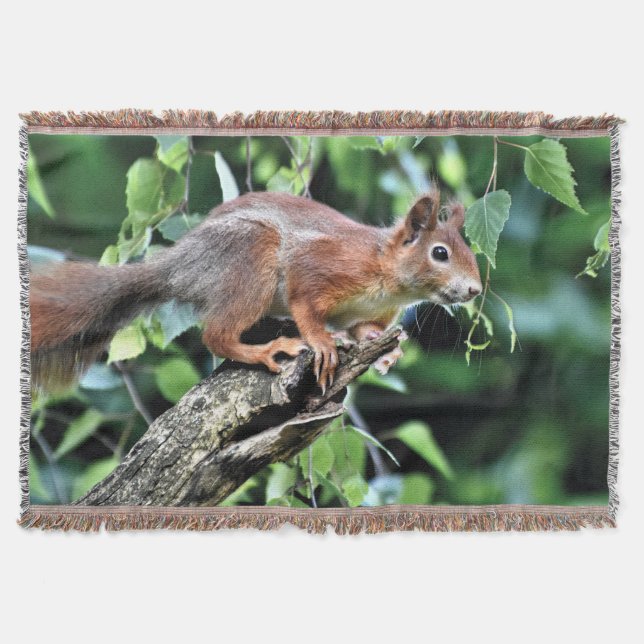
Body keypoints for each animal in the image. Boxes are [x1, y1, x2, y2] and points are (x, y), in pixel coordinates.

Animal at [30, 189, 482, 393]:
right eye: (440, 253)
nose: (476, 290)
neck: (388, 279)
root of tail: (180, 265)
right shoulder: (322, 265)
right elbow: (305, 302)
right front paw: (323, 342)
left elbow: (363, 330)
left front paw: (385, 349)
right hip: (251, 260)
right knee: (216, 335)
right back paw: (267, 350)